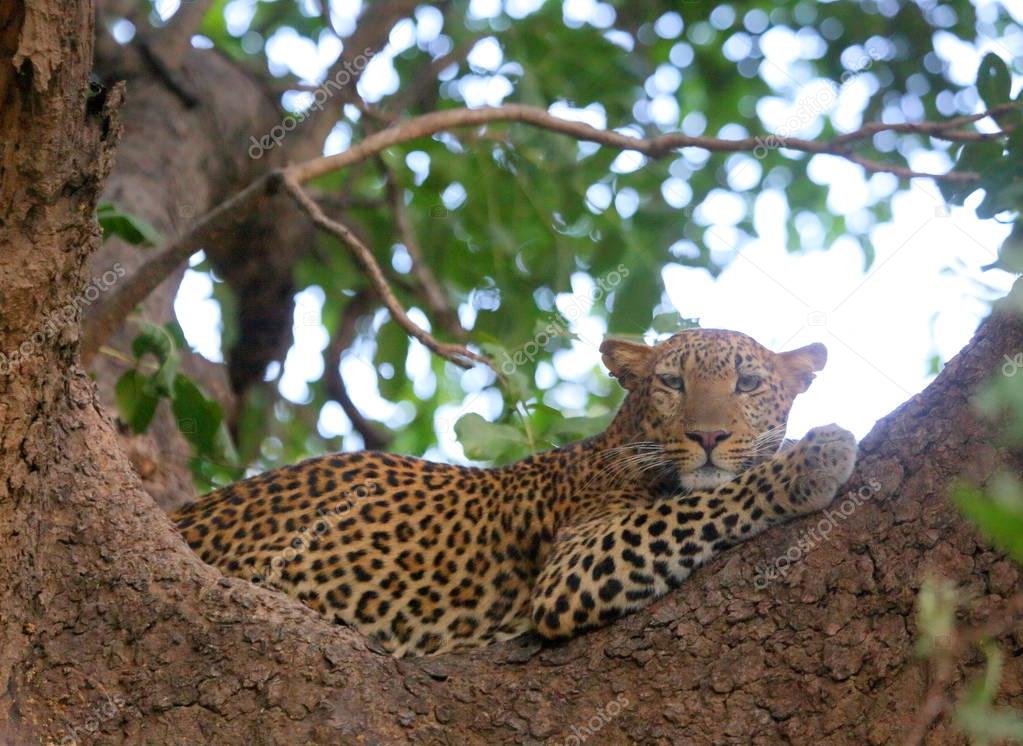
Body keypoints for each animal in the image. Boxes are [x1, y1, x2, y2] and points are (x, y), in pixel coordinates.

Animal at [173, 329, 855, 654]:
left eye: (748, 384)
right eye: (671, 382)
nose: (708, 435)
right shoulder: (571, 570)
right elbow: (699, 503)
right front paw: (814, 457)